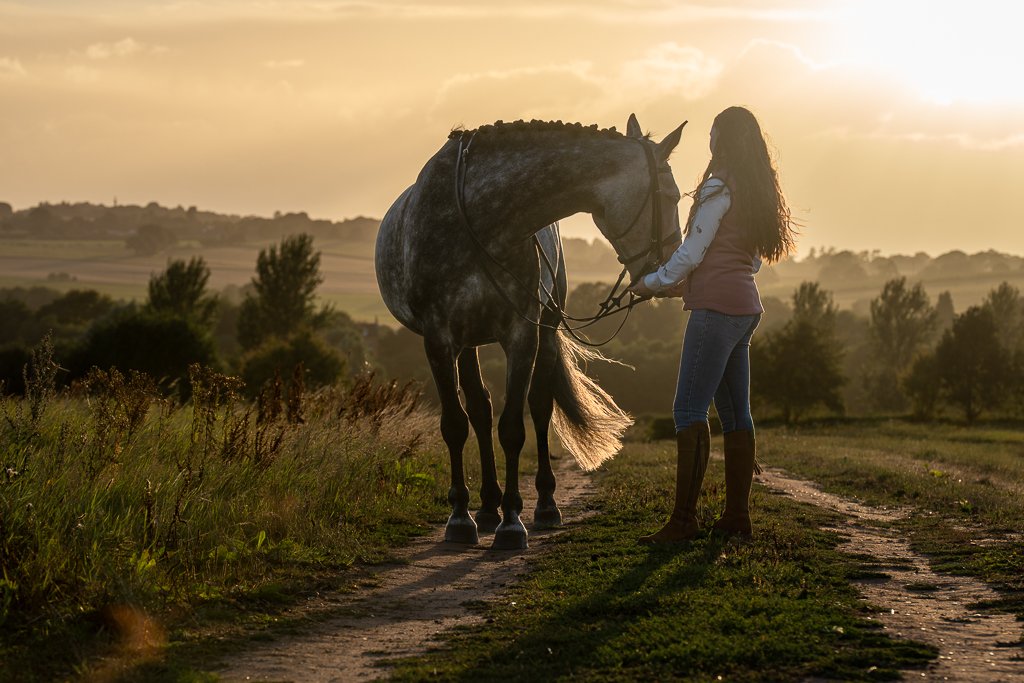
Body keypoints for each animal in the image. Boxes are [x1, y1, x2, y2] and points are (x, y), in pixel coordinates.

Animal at [375, 115, 686, 549]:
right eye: (671, 196)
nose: (675, 271)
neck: (478, 218)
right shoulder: (439, 339)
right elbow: (455, 425)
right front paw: (461, 518)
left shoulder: (522, 334)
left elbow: (513, 428)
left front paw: (512, 523)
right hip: (467, 344)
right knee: (480, 409)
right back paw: (486, 508)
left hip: (547, 331)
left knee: (538, 406)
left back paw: (542, 506)